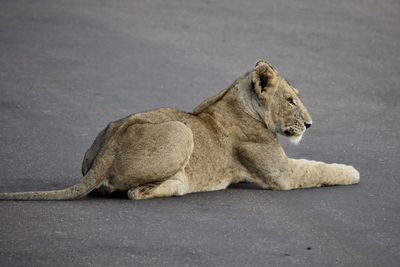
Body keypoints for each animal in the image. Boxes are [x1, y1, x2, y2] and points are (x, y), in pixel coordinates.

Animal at [0, 59, 360, 201]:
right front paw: (352, 172)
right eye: (290, 100)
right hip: (181, 130)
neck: (241, 101)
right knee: (134, 193)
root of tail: (111, 145)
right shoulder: (280, 174)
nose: (310, 124)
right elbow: (317, 169)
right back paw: (178, 185)